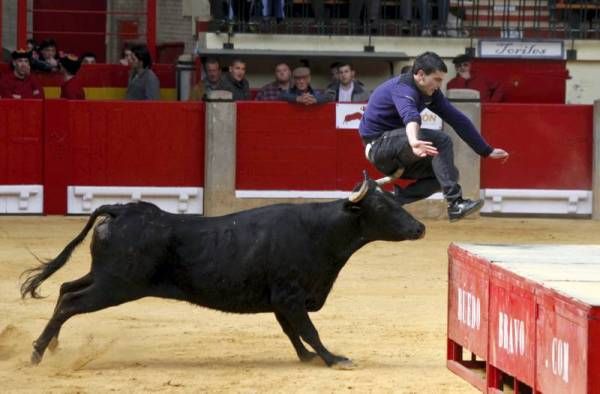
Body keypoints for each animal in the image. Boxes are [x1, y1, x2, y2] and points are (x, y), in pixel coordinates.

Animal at [22, 174, 426, 368]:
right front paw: (334, 359)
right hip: (115, 285)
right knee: (71, 301)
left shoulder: (281, 301)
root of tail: (121, 209)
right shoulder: (290, 296)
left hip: (104, 277)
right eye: (383, 207)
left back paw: (52, 346)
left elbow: (293, 333)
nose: (420, 228)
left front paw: (310, 359)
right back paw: (38, 352)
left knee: (65, 290)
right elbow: (308, 330)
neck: (321, 231)